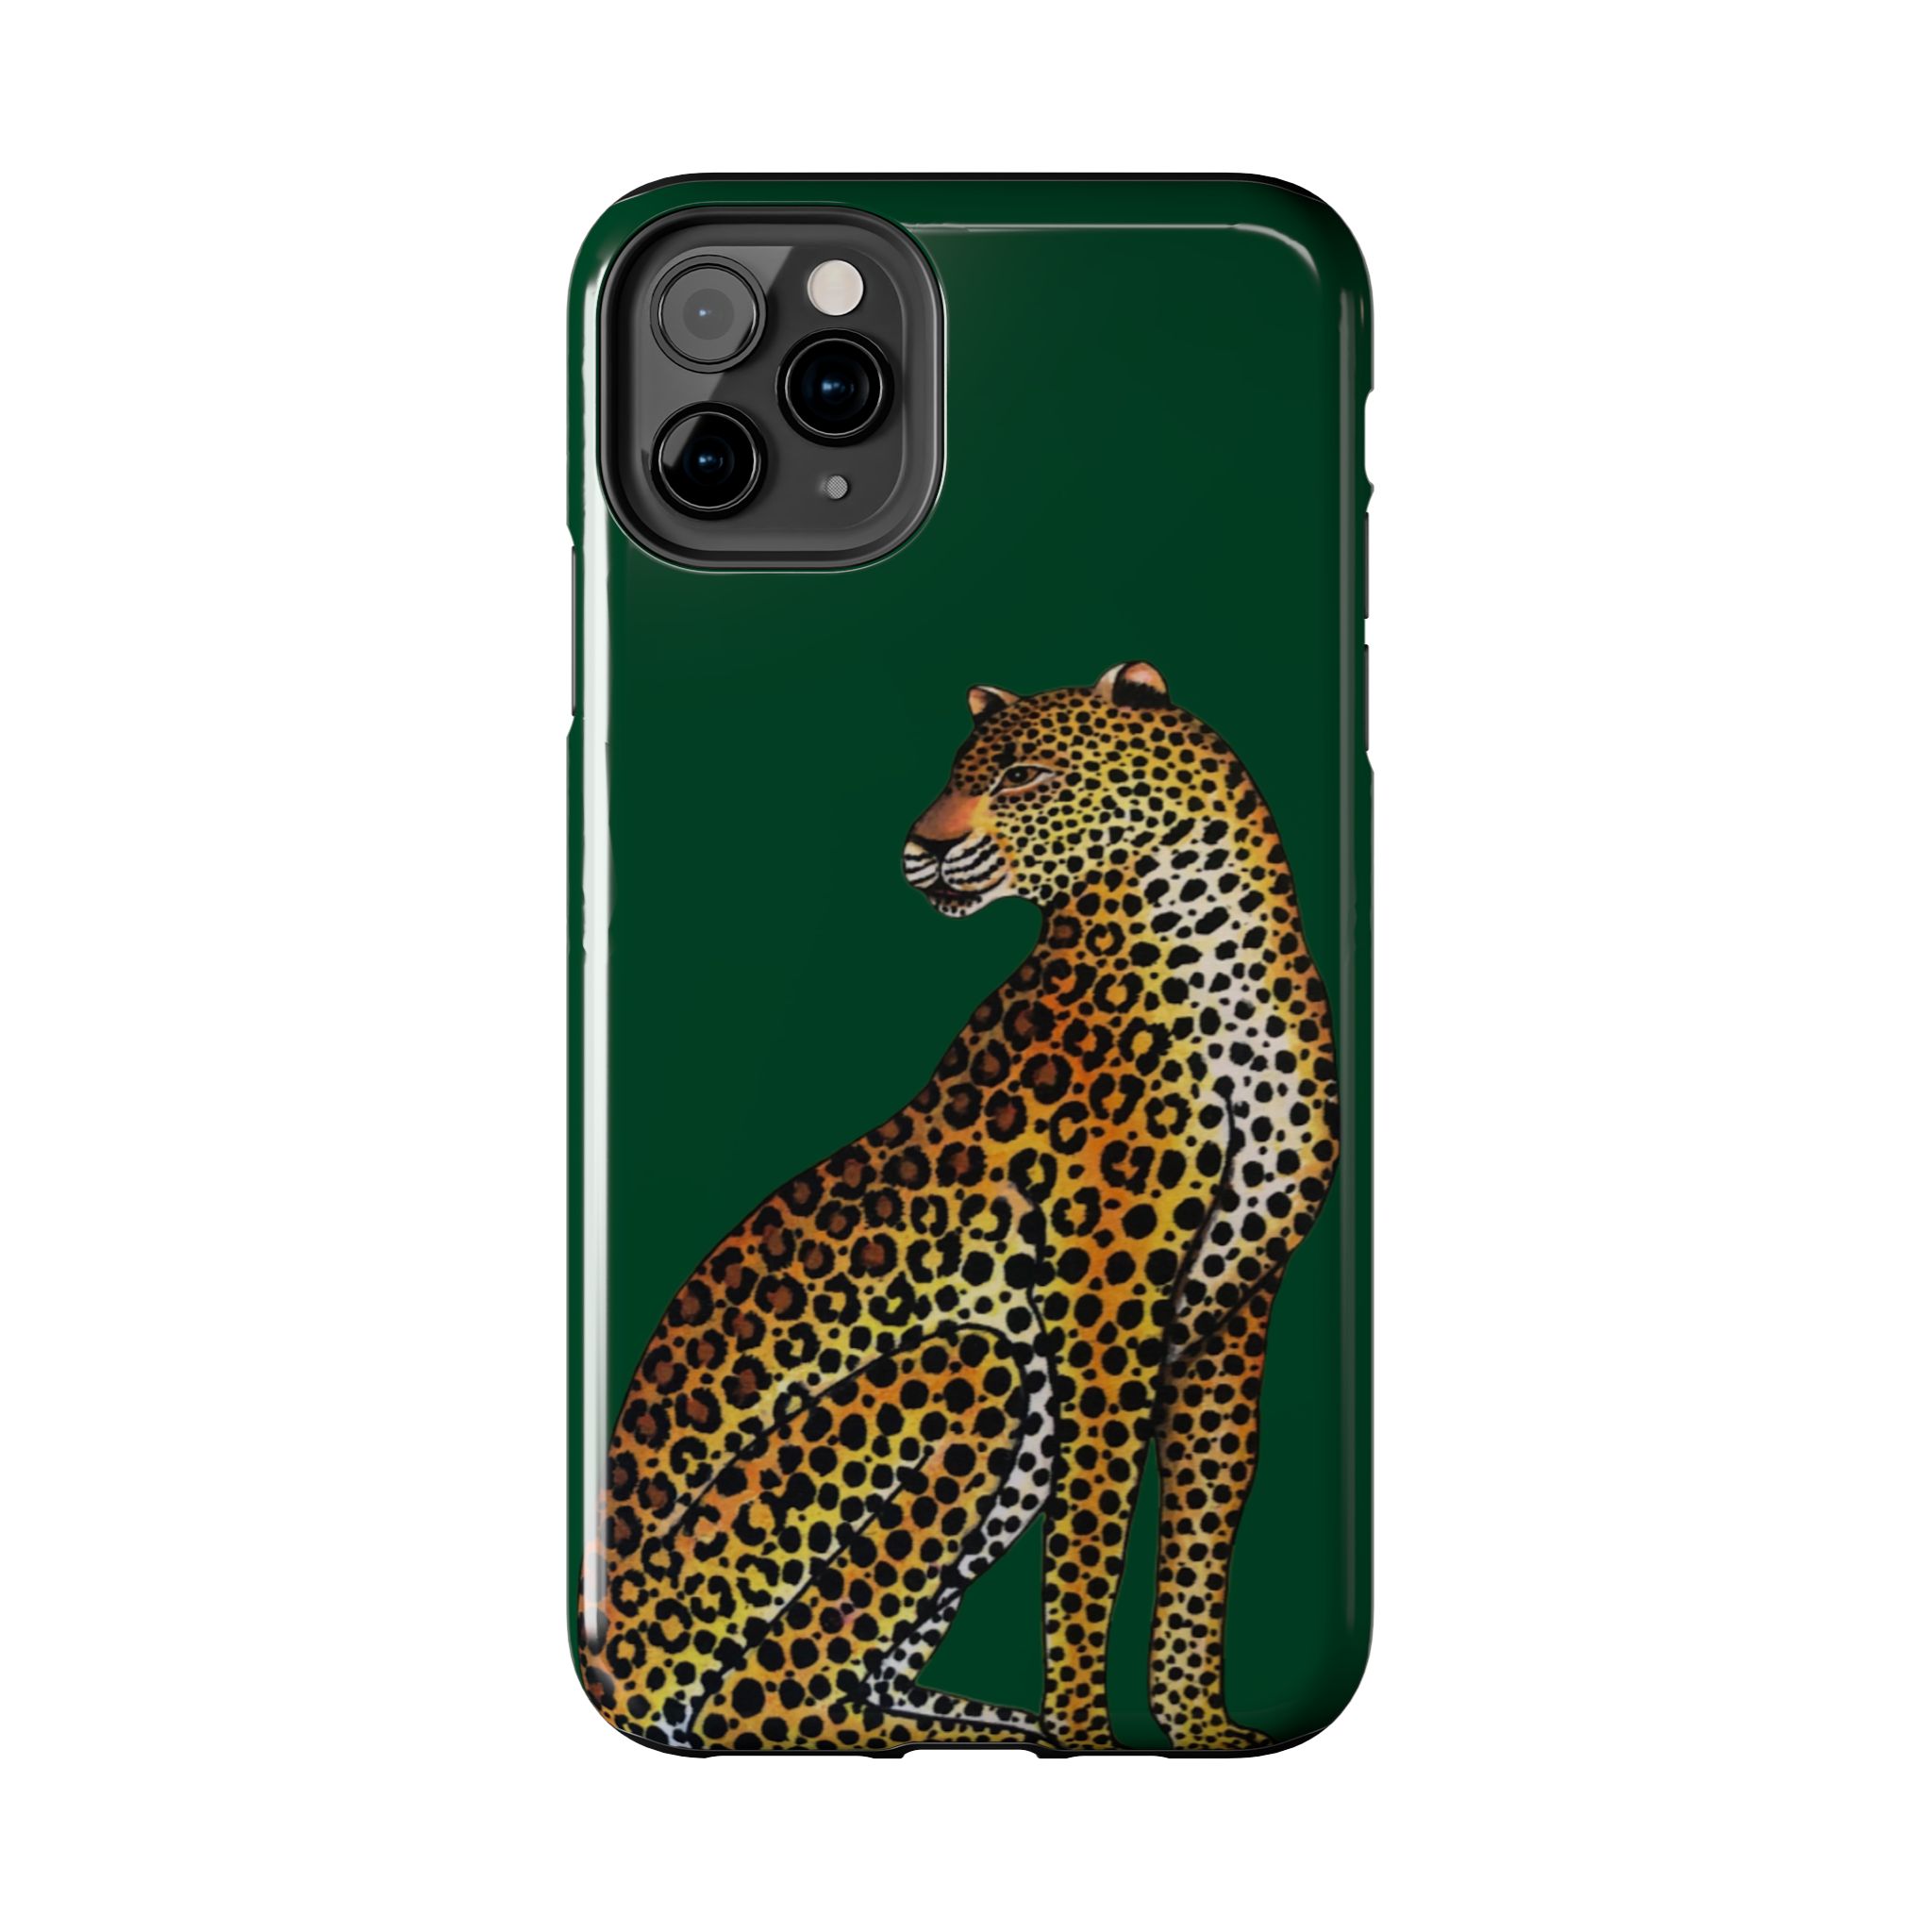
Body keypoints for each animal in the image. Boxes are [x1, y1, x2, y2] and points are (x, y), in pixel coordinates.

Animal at [578, 660, 1339, 1754]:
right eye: (955, 775)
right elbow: (1089, 1541)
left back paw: (990, 1725)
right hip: (973, 1372)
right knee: (772, 1688)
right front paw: (1089, 1738)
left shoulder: (1234, 1315)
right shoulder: (1105, 1314)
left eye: (1022, 775)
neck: (1217, 943)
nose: (922, 846)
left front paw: (1199, 1730)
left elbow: (1201, 1527)